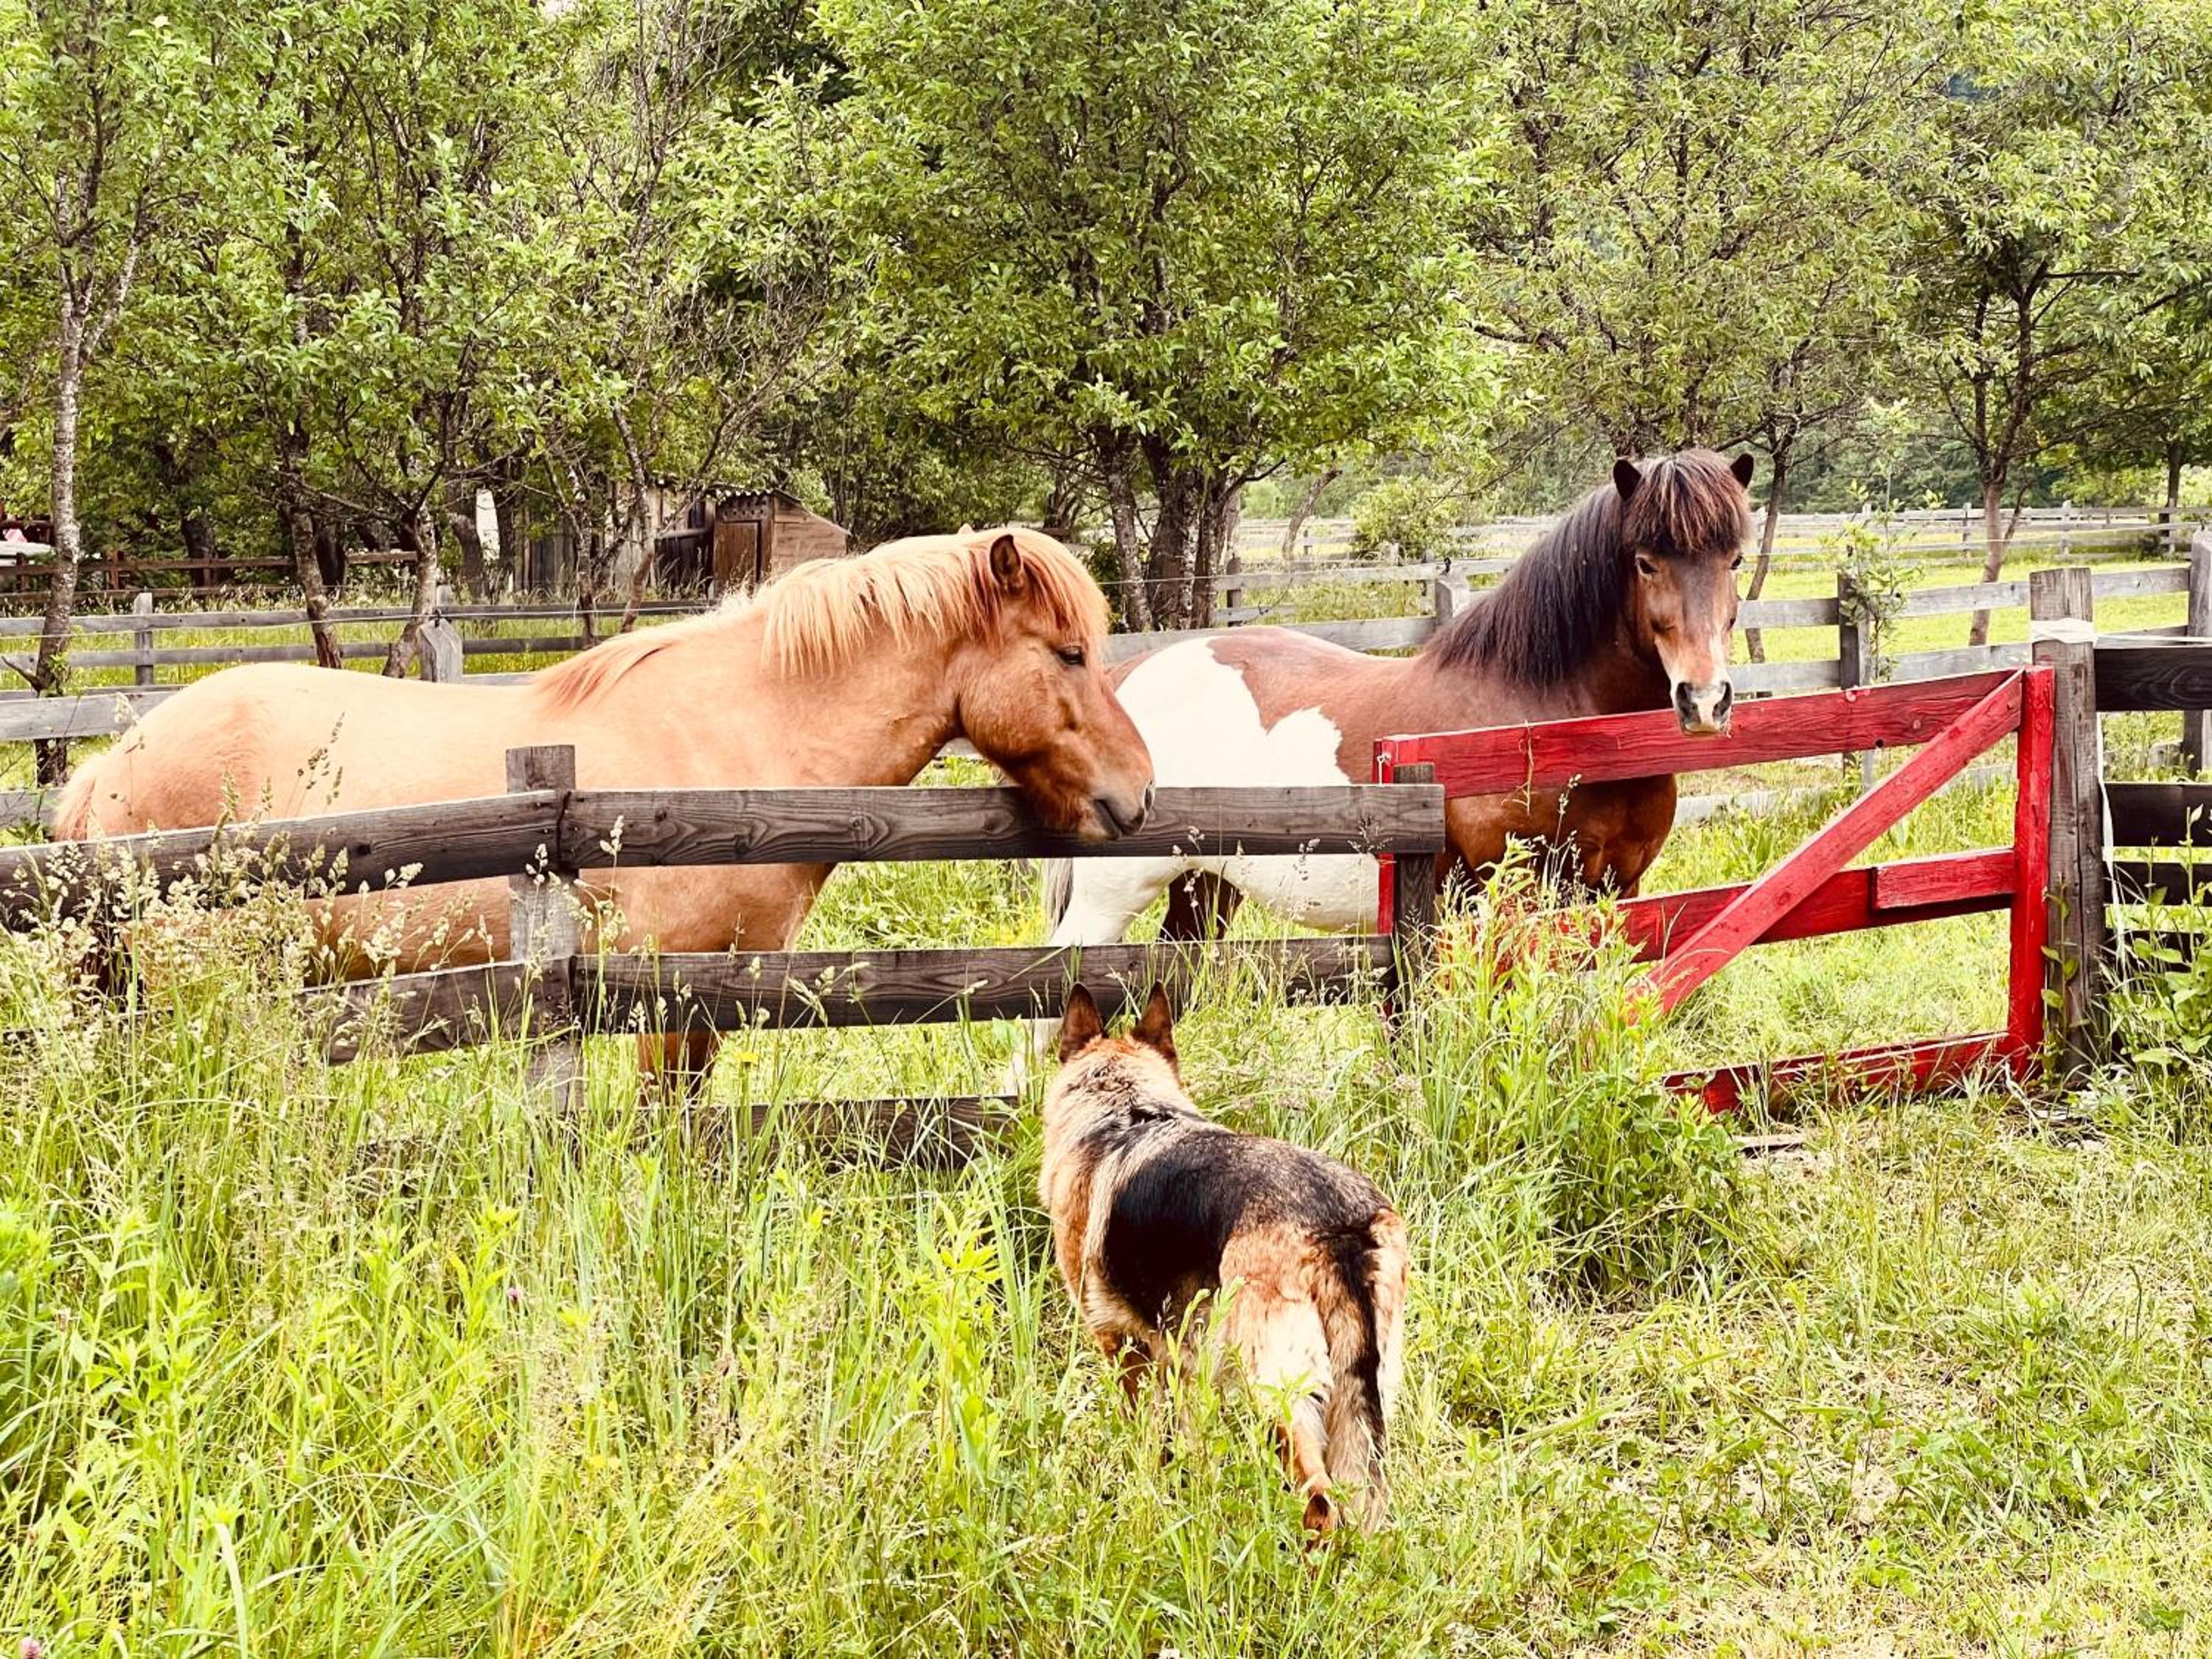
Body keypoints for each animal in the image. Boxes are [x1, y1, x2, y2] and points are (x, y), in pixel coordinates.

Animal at [1032, 449, 1752, 995]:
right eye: (1645, 562)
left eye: (1735, 561)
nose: (1704, 699)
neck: (1544, 721)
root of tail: (1129, 677)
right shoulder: (1514, 898)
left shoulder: (1620, 888)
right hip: (1111, 895)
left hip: (1204, 887)